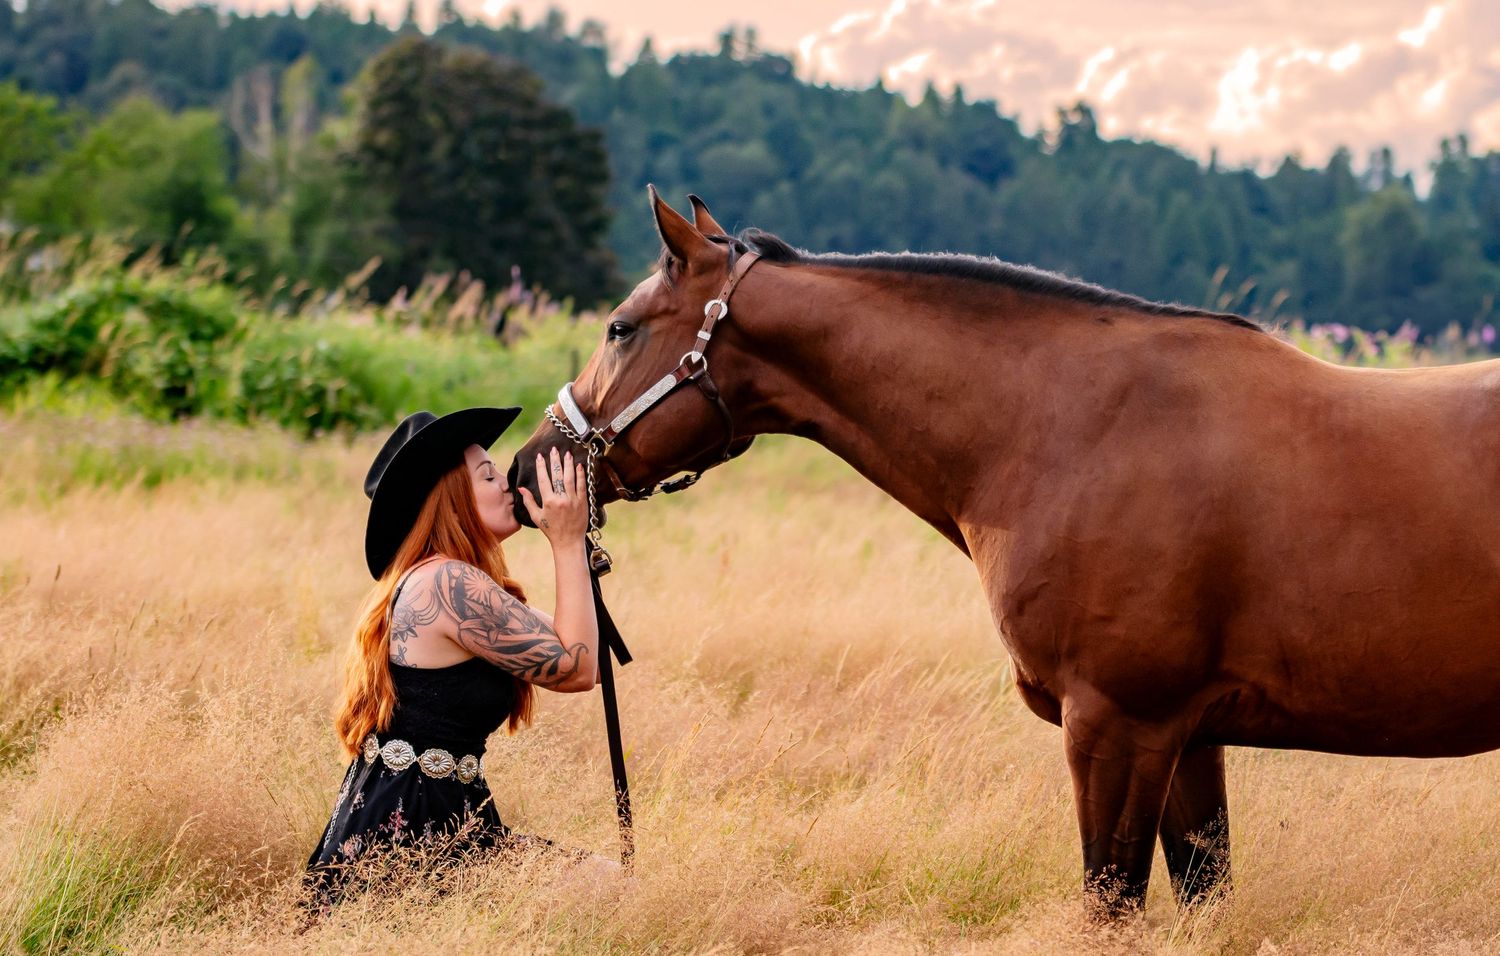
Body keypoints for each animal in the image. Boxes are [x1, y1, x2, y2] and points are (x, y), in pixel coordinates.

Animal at [510, 188, 1500, 916]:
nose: (528, 470)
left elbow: (1110, 905)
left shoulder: (1119, 726)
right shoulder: (1190, 738)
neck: (1069, 428)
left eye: (621, 327)